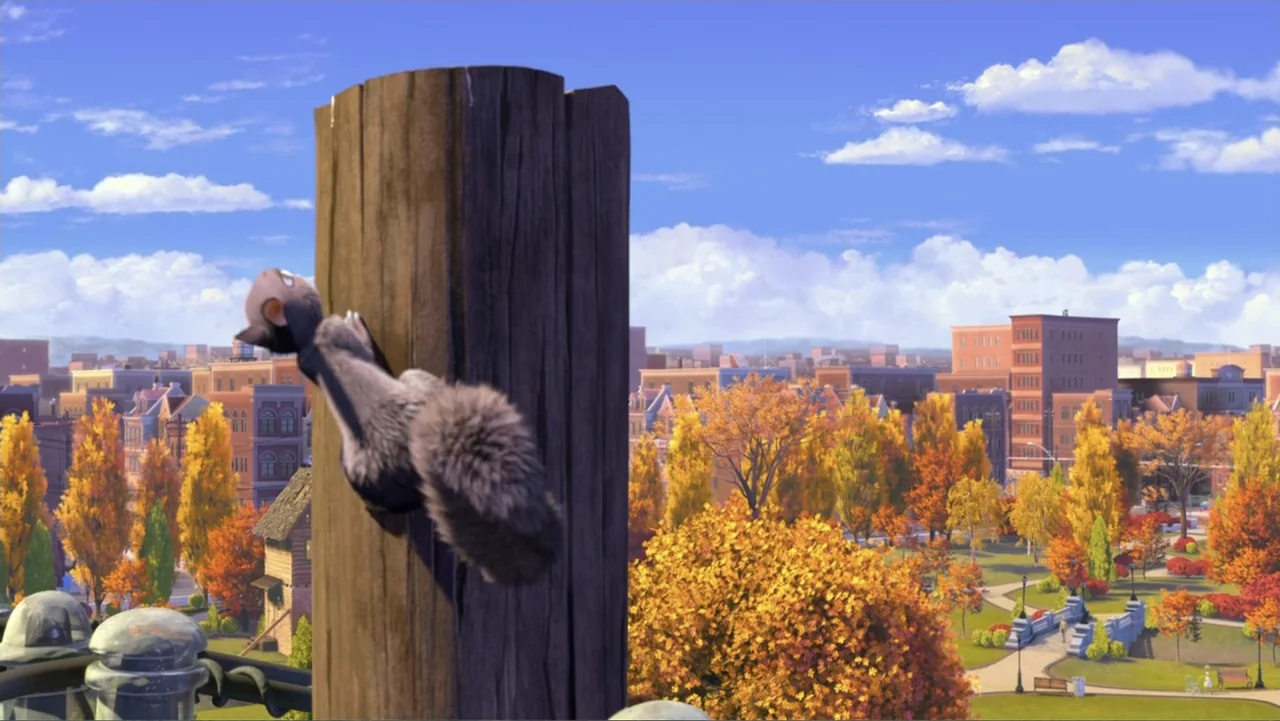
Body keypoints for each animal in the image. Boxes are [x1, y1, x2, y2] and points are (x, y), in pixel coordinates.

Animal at [234, 268, 563, 586]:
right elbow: (363, 347)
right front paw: (358, 326)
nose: (284, 271)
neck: (307, 339)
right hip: (412, 386)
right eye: (289, 280)